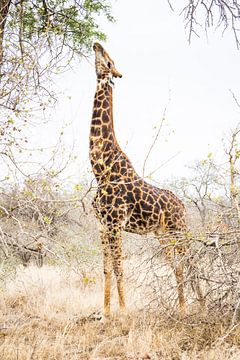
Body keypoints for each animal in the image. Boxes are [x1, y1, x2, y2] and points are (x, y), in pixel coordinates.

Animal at [89, 43, 190, 316]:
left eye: (109, 61)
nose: (97, 44)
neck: (100, 169)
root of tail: (183, 205)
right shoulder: (102, 225)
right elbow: (105, 269)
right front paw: (105, 314)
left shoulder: (115, 224)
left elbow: (118, 267)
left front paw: (123, 312)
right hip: (162, 233)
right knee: (178, 266)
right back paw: (184, 307)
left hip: (179, 230)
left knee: (189, 262)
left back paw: (194, 306)